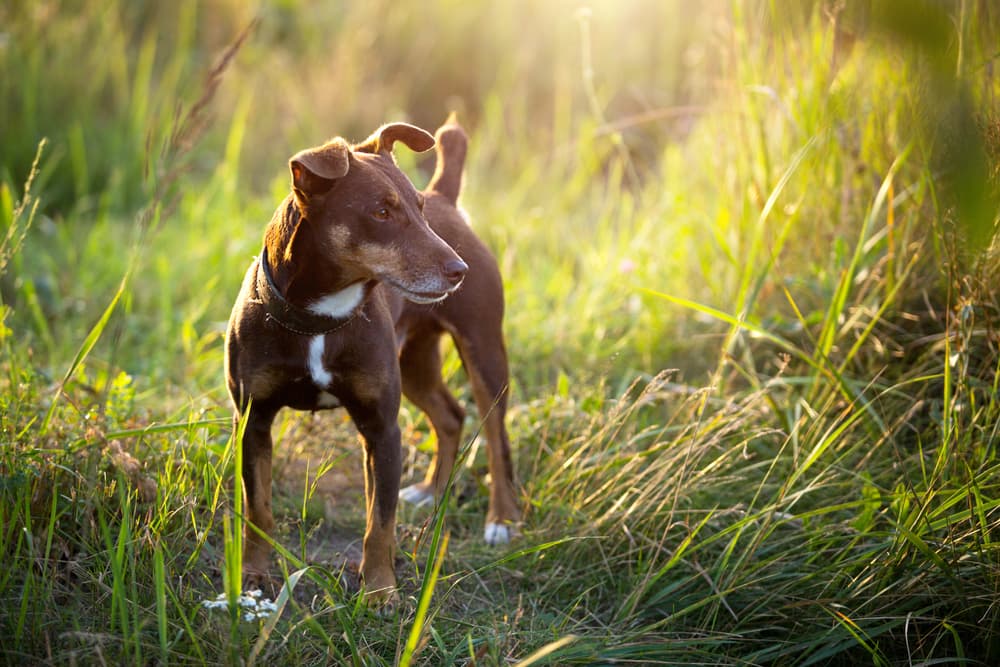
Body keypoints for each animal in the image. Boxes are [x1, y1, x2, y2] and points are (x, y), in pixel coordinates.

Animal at [225, 117, 524, 604]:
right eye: (381, 212)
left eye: (419, 210)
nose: (457, 270)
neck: (319, 319)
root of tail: (447, 196)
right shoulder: (253, 420)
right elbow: (259, 510)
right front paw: (253, 577)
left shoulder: (382, 427)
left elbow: (380, 523)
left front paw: (380, 591)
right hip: (414, 362)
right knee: (451, 415)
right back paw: (432, 491)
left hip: (484, 352)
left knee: (496, 437)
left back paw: (501, 519)